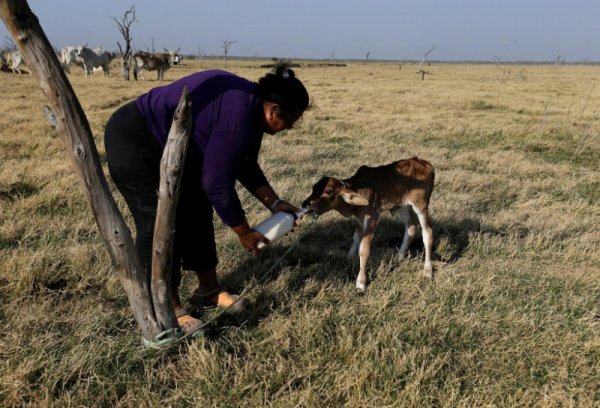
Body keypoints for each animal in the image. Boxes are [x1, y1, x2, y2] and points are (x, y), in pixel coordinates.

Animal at [302, 156, 434, 290]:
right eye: (314, 188)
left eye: (328, 191)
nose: (305, 204)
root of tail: (425, 163)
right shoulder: (359, 219)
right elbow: (356, 238)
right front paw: (349, 257)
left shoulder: (372, 217)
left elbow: (363, 248)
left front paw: (361, 282)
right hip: (403, 206)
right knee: (411, 227)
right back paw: (397, 258)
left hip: (420, 204)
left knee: (427, 232)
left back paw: (427, 270)